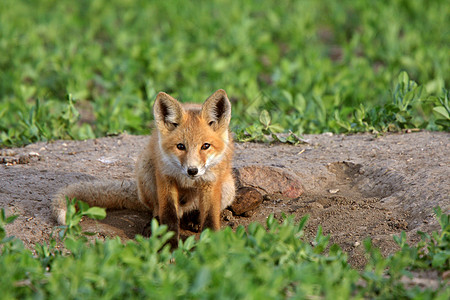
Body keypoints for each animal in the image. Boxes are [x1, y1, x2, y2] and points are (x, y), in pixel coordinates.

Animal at [51, 89, 236, 246]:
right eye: (180, 146)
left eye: (206, 146)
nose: (192, 170)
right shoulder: (165, 178)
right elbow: (169, 216)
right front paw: (170, 247)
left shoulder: (211, 182)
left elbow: (210, 218)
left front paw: (209, 247)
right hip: (145, 170)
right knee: (157, 209)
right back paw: (154, 225)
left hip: (229, 187)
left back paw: (193, 219)